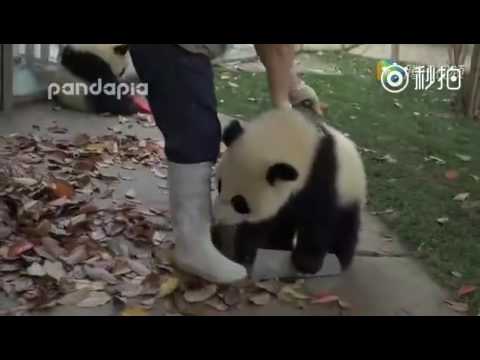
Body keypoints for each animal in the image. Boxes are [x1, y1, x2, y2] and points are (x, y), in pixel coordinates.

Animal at [214, 108, 368, 274]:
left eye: (240, 203)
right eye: (220, 186)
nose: (218, 219)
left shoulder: (321, 176)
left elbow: (319, 219)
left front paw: (307, 263)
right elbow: (264, 222)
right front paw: (247, 253)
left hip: (349, 194)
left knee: (345, 228)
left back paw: (341, 259)